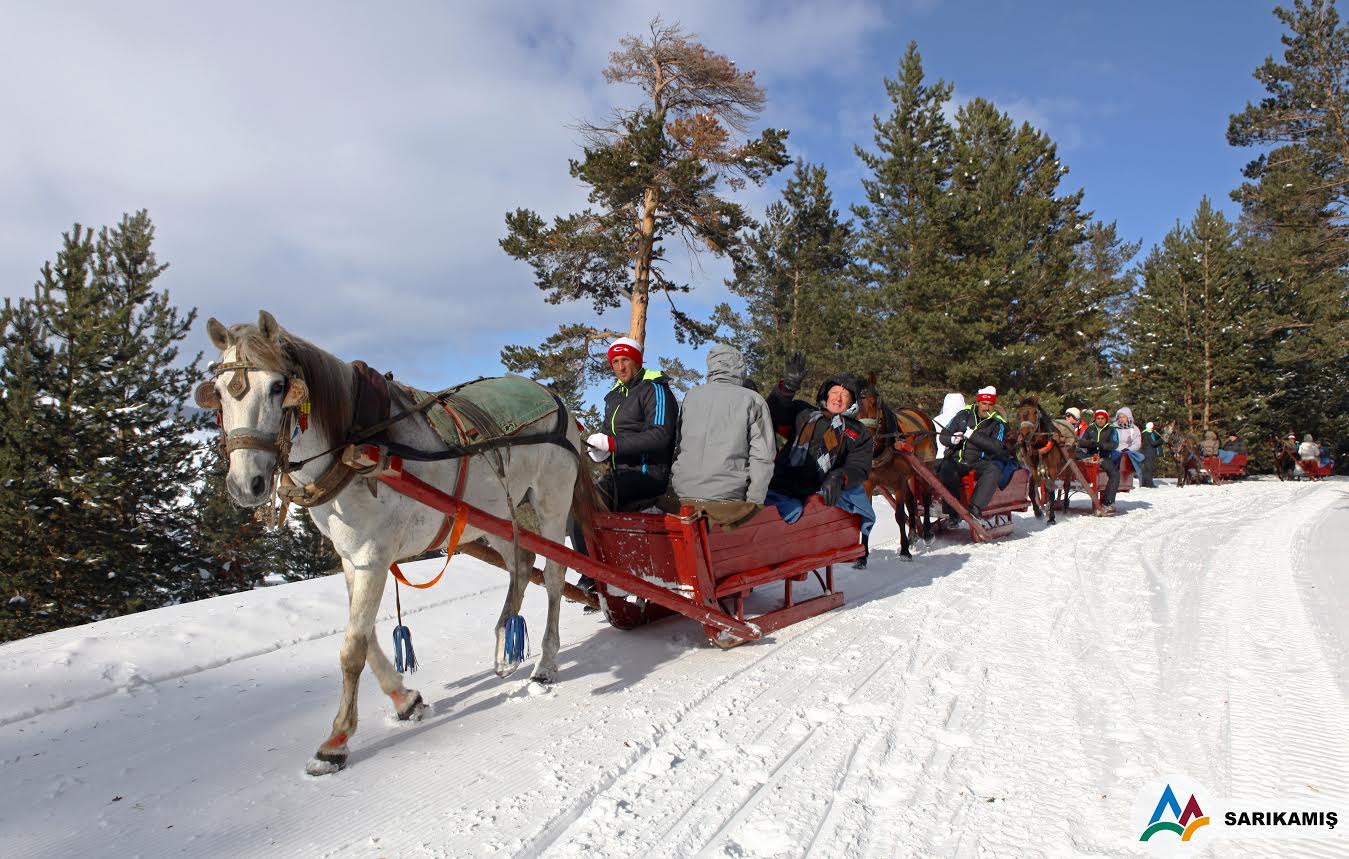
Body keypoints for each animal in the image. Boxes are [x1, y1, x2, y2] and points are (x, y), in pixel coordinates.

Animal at [196, 310, 598, 776]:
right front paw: (406, 701)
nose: (247, 485)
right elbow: (366, 636)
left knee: (553, 576)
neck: (356, 445)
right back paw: (504, 645)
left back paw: (546, 663)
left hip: (551, 502)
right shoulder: (352, 557)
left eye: (279, 386)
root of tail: (554, 397)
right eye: (220, 393)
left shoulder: (373, 556)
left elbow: (352, 647)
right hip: (497, 513)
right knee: (521, 562)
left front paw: (335, 742)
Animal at [852, 372, 938, 558]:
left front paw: (904, 551)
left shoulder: (898, 482)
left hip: (925, 467)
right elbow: (868, 517)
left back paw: (927, 533)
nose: (865, 436)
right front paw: (862, 556)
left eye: (874, 401)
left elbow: (899, 515)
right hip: (910, 474)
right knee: (912, 502)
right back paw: (913, 534)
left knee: (926, 497)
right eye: (854, 407)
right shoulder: (868, 483)